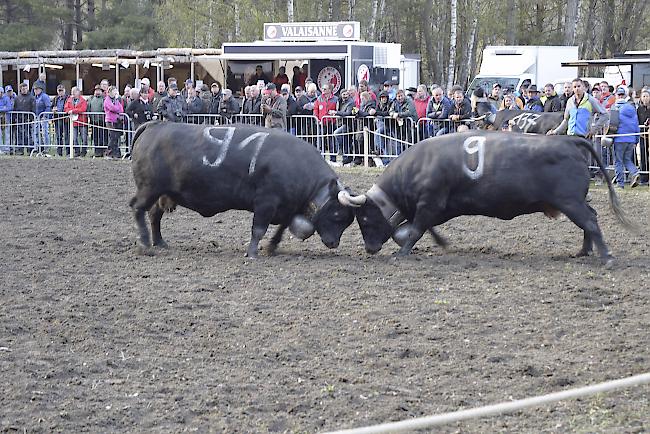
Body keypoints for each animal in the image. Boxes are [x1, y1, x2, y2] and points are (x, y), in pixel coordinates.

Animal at [128, 121, 352, 258]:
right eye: (337, 214)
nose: (334, 243)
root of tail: (156, 124)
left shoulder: (286, 207)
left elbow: (281, 228)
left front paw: (271, 247)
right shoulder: (265, 202)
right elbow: (258, 229)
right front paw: (252, 253)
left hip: (161, 193)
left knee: (154, 214)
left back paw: (159, 241)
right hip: (148, 189)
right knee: (138, 209)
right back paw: (145, 244)